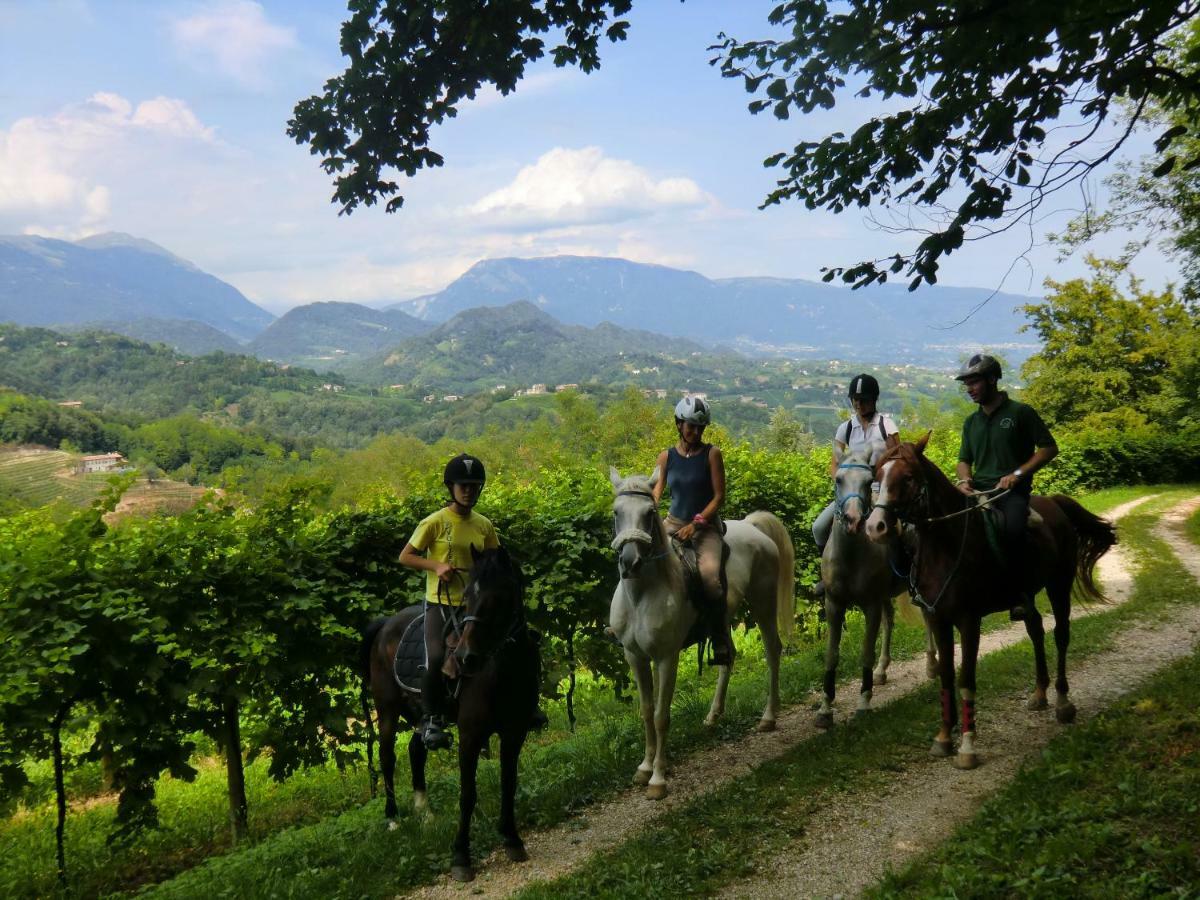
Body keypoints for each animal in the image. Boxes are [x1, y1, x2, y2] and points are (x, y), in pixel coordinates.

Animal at [357, 547, 537, 883]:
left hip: (419, 714)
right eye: (467, 595)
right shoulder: (470, 735)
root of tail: (386, 624)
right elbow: (467, 794)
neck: (501, 671)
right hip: (387, 710)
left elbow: (509, 782)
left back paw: (424, 812)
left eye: (500, 595)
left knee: (416, 748)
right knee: (388, 758)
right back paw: (393, 818)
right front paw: (461, 856)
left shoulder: (514, 731)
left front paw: (511, 838)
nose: (466, 658)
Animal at [609, 468, 796, 801]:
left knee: (773, 650)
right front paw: (644, 767)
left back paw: (768, 717)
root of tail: (751, 525)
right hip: (724, 620)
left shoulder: (666, 657)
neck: (642, 595)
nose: (630, 563)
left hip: (762, 603)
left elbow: (661, 715)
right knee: (728, 656)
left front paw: (658, 778)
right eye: (617, 512)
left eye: (649, 513)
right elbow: (646, 711)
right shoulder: (636, 657)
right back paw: (713, 715)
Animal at [864, 434, 1113, 768]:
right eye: (877, 475)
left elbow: (966, 679)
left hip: (1058, 585)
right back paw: (1040, 693)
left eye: (907, 478)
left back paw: (1063, 702)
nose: (875, 526)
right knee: (1036, 630)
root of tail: (1054, 503)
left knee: (1061, 635)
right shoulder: (939, 619)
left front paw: (968, 747)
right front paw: (943, 737)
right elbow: (946, 677)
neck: (946, 546)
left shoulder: (969, 621)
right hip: (1027, 597)